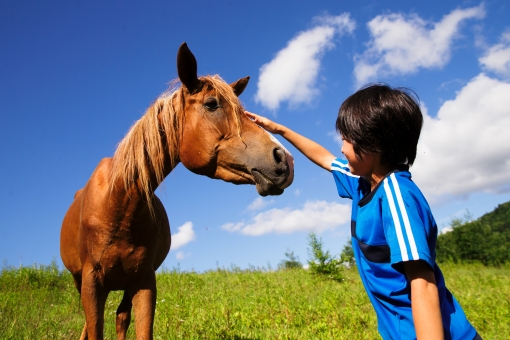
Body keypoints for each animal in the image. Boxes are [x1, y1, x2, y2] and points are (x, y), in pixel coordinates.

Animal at [60, 41, 294, 338]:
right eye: (211, 104)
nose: (284, 159)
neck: (118, 203)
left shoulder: (144, 281)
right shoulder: (92, 283)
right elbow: (94, 328)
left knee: (121, 317)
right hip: (83, 281)